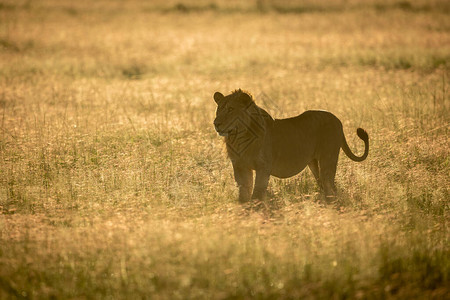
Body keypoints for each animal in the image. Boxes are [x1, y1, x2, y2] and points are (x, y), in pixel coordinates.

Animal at [214, 88, 370, 202]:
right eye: (219, 109)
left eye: (230, 109)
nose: (216, 123)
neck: (238, 138)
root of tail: (338, 120)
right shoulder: (240, 166)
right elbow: (244, 192)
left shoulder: (263, 167)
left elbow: (257, 192)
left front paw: (255, 209)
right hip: (313, 163)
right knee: (324, 183)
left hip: (328, 158)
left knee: (329, 184)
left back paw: (331, 202)